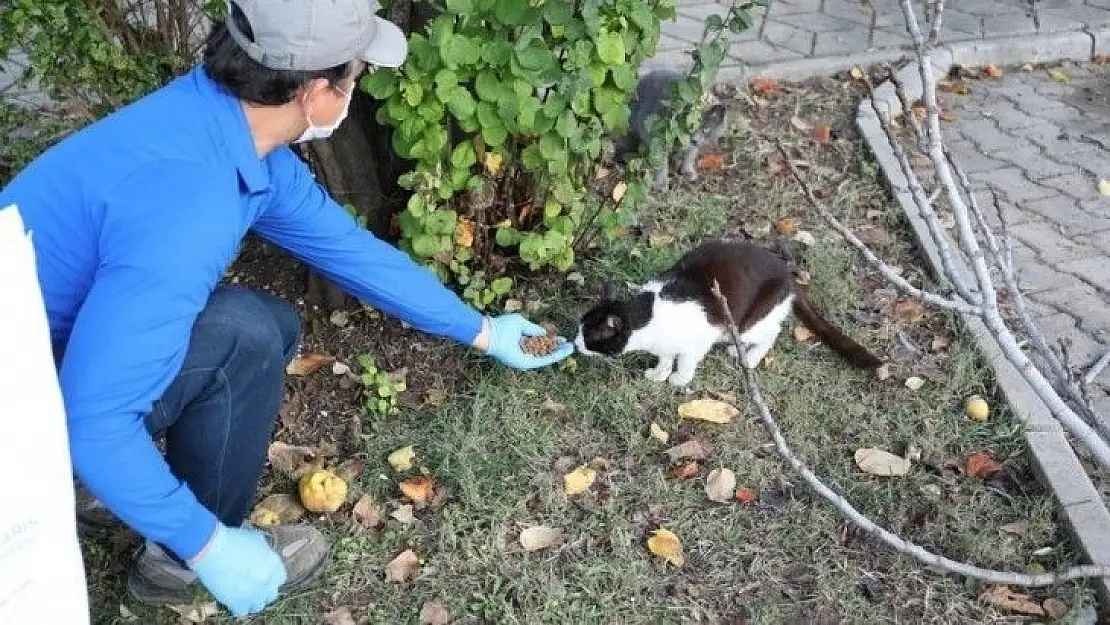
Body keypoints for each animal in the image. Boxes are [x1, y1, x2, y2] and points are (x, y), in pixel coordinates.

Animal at [577, 239, 879, 386]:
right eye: (579, 329)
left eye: (591, 337)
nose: (576, 344)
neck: (648, 314)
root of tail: (788, 275)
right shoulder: (665, 344)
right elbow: (665, 357)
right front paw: (659, 373)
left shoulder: (698, 341)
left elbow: (684, 362)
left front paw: (678, 380)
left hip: (749, 319)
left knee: (772, 332)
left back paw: (748, 355)